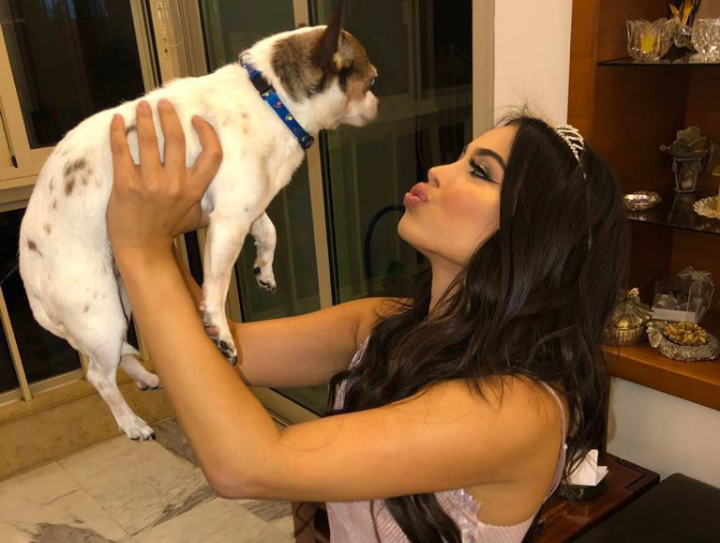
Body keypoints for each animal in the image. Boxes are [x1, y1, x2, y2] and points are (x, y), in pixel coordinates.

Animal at [17, 5, 378, 440]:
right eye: (371, 81)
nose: (378, 103)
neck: (271, 99)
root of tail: (31, 286)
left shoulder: (242, 208)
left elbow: (269, 230)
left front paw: (264, 268)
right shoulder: (228, 222)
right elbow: (216, 288)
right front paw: (221, 331)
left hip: (118, 303)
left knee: (118, 356)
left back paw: (145, 377)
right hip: (98, 312)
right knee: (99, 377)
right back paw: (131, 423)